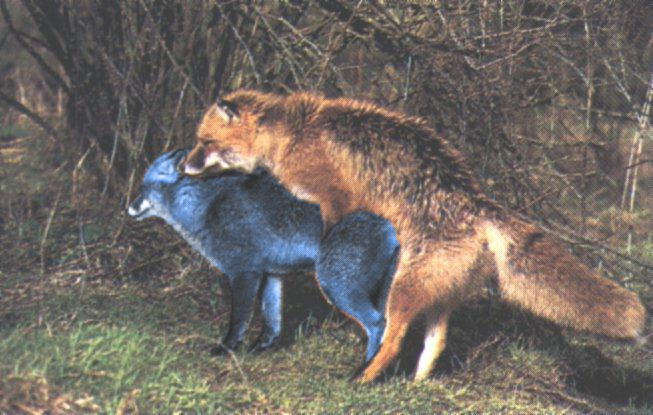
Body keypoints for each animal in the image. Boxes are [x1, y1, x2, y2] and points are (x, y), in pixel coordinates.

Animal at [128, 148, 399, 362]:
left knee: (378, 323)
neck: (205, 209)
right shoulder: (271, 276)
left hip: (336, 287)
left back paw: (365, 371)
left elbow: (238, 321)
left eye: (143, 188)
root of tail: (391, 230)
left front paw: (226, 349)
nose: (128, 208)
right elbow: (272, 323)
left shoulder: (244, 274)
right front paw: (259, 349)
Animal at [179, 90, 647, 383]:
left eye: (204, 142)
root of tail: (478, 203)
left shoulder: (335, 196)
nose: (183, 165)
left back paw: (363, 379)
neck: (290, 133)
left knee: (392, 337)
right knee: (434, 343)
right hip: (434, 295)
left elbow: (331, 229)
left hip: (403, 291)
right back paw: (415, 386)